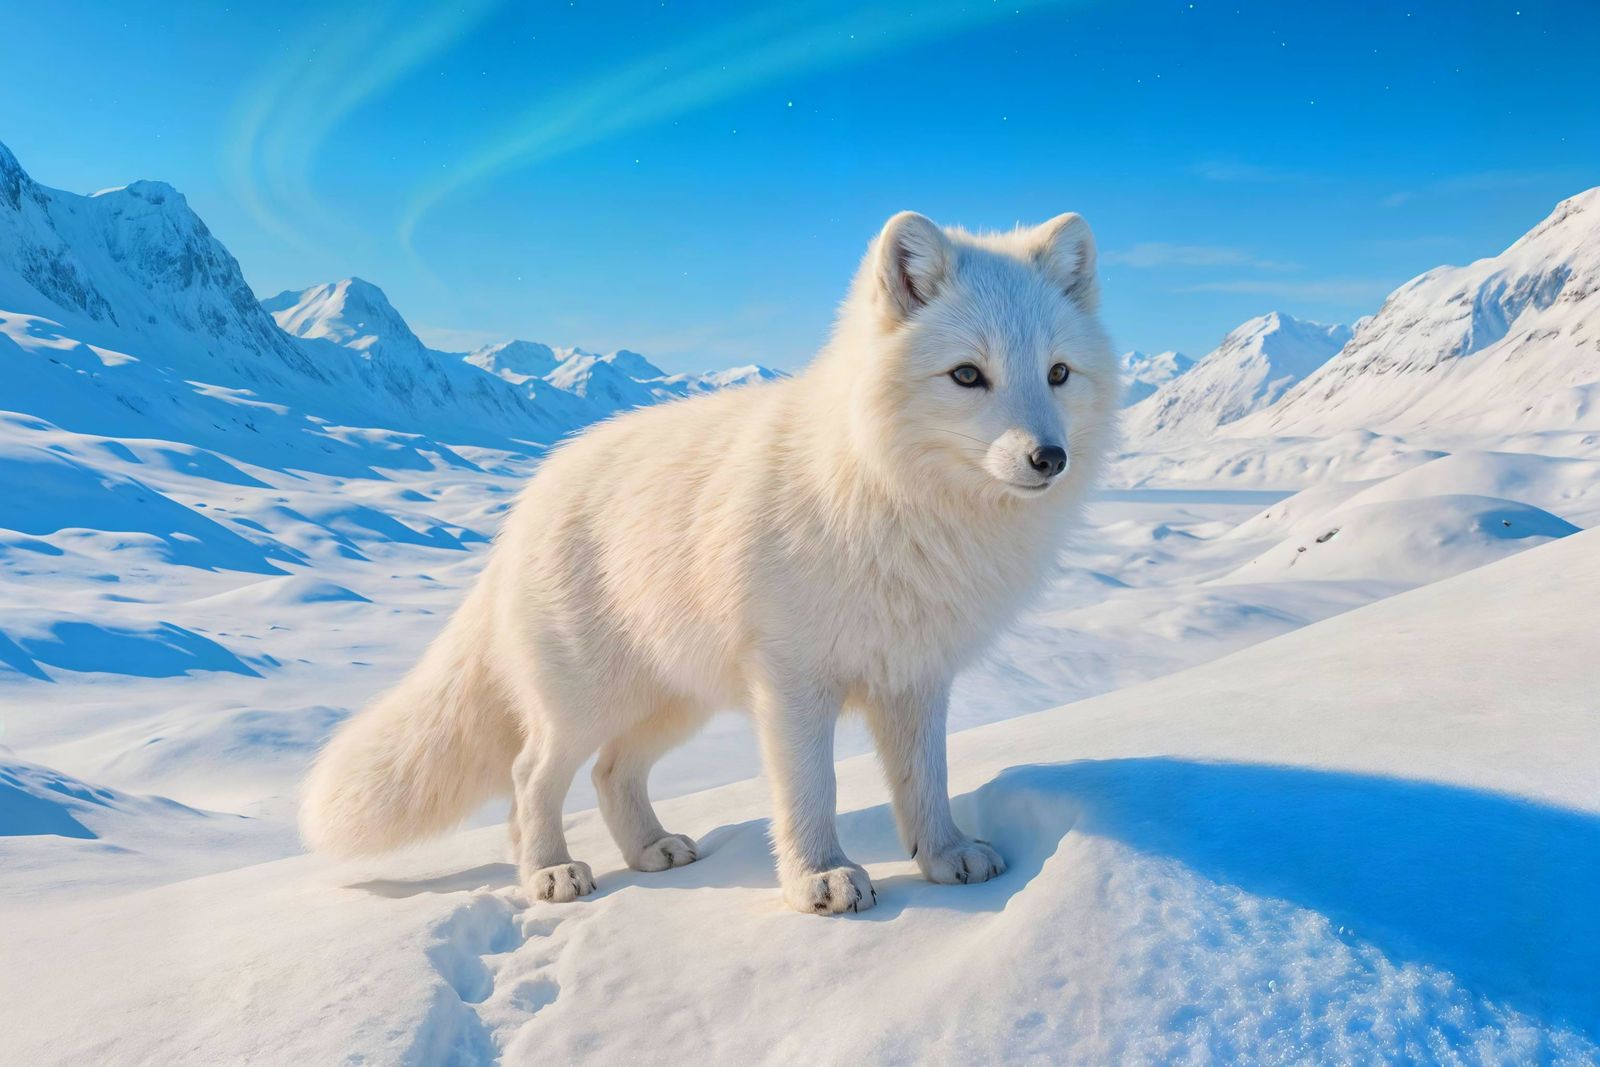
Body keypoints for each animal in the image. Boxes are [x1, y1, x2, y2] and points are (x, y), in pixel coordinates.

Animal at [300, 210, 1119, 914]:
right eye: (967, 375)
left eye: (1057, 373)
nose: (1049, 458)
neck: (896, 498)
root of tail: (532, 495)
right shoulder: (792, 681)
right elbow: (810, 790)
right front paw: (821, 877)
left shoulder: (916, 676)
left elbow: (927, 782)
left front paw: (944, 855)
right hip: (583, 701)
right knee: (531, 775)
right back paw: (549, 873)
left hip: (674, 701)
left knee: (612, 772)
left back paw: (652, 850)